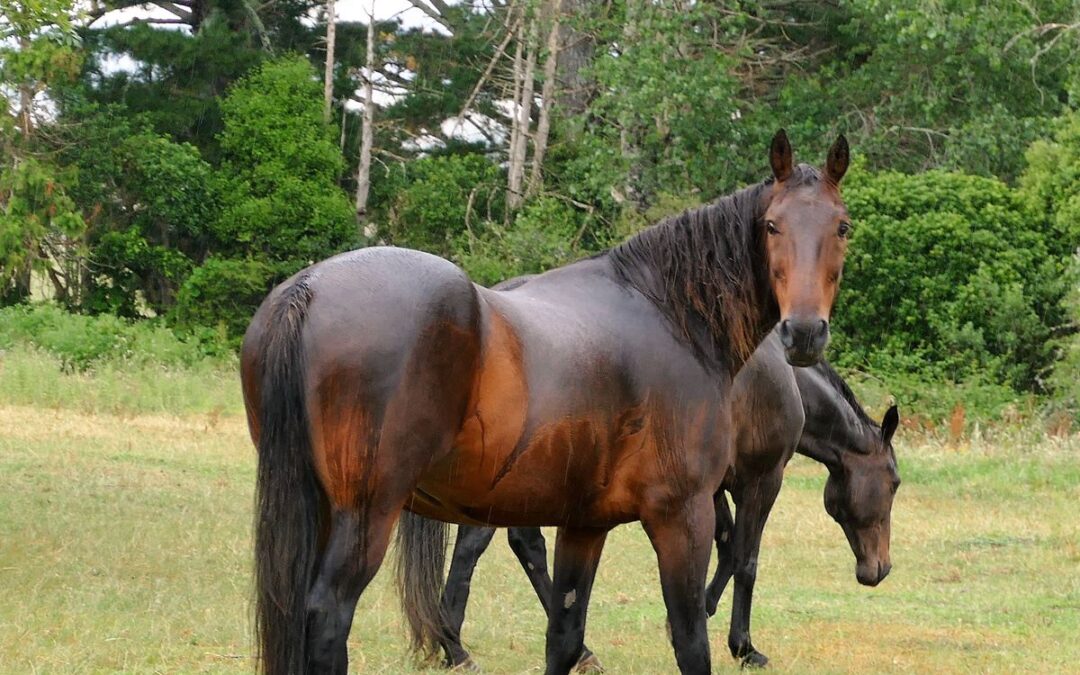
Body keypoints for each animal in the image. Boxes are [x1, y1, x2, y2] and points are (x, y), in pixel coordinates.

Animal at [238, 130, 851, 673]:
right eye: (771, 225)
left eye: (841, 226)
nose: (803, 332)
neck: (672, 316)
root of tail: (308, 289)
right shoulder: (683, 514)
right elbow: (689, 638)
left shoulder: (584, 525)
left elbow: (565, 635)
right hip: (368, 514)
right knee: (328, 618)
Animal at [434, 328, 898, 669]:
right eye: (894, 482)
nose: (880, 570)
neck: (786, 381)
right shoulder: (760, 480)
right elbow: (746, 561)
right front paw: (743, 647)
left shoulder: (709, 488)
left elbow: (726, 548)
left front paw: (700, 611)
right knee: (501, 545)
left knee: (499, 544)